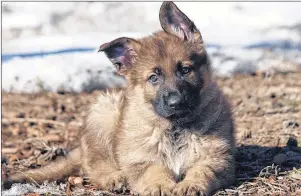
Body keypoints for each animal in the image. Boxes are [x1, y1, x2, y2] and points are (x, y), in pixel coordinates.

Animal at [4, 1, 236, 196]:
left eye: (185, 70)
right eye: (153, 78)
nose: (175, 103)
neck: (174, 127)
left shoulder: (216, 158)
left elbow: (202, 170)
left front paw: (190, 184)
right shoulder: (139, 160)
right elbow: (153, 169)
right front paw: (160, 185)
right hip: (106, 110)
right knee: (94, 165)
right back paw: (115, 177)